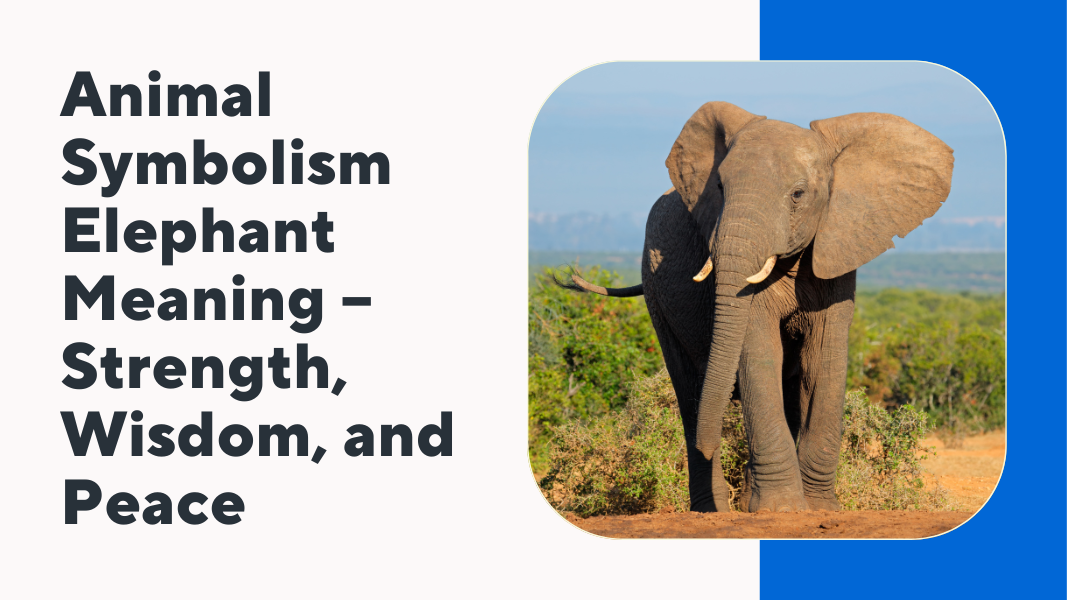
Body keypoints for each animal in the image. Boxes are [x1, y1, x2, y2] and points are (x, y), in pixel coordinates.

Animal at [562, 102, 953, 512]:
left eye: (798, 194)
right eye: (719, 187)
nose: (709, 443)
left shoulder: (838, 247)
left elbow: (823, 360)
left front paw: (818, 509)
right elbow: (760, 353)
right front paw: (780, 510)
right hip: (655, 289)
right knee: (689, 390)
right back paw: (712, 509)